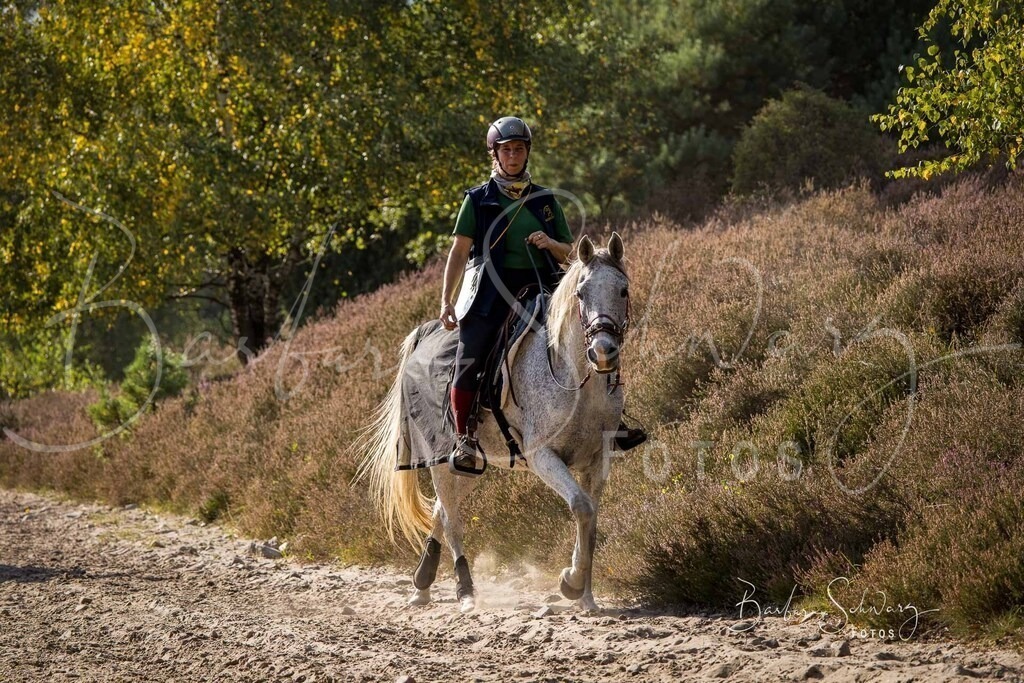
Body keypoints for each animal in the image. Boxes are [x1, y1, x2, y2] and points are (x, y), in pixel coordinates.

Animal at [359, 232, 630, 613]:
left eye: (623, 290)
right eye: (580, 293)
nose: (603, 352)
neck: (576, 379)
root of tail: (425, 337)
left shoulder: (598, 460)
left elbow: (591, 517)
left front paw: (586, 597)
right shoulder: (543, 456)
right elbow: (580, 506)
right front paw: (572, 582)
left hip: (471, 464)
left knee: (441, 511)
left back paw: (422, 584)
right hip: (439, 460)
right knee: (453, 521)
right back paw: (465, 591)